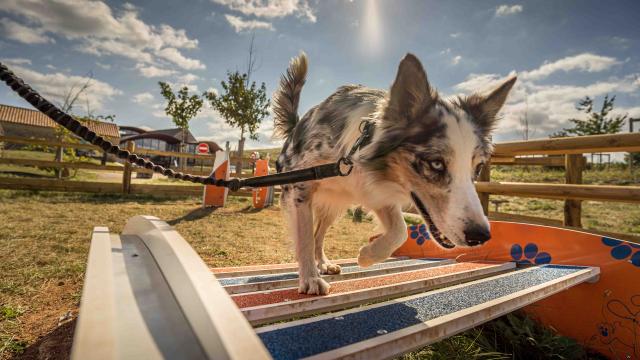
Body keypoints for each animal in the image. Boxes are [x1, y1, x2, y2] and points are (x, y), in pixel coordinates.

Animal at [272, 52, 516, 294]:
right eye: (436, 164)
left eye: (477, 167)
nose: (481, 236)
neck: (358, 149)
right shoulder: (300, 190)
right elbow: (304, 238)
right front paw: (310, 279)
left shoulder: (376, 191)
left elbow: (401, 230)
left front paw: (367, 256)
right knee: (313, 236)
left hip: (334, 207)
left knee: (319, 235)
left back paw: (324, 263)